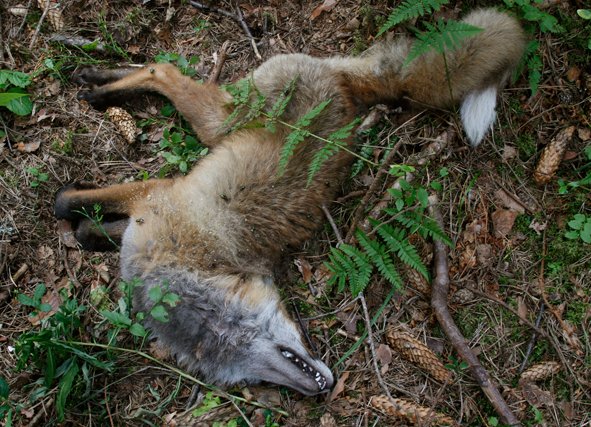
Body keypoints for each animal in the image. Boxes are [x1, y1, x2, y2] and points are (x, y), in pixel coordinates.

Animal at [55, 9, 524, 398]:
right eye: (242, 372)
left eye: (243, 347)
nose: (319, 391)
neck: (185, 254)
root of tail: (346, 88)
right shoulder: (148, 211)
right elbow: (89, 228)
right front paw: (91, 228)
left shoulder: (155, 194)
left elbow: (67, 206)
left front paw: (75, 207)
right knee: (161, 68)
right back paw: (94, 73)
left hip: (221, 119)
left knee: (162, 68)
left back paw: (100, 90)